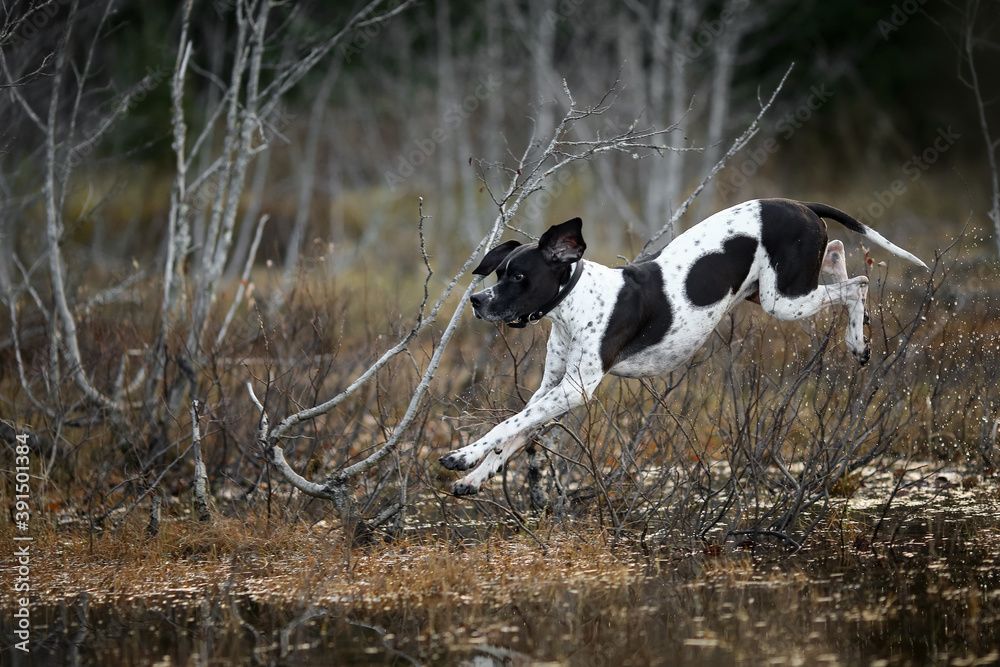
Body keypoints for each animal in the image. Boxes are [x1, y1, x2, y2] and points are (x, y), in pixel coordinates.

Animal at [442, 198, 924, 496]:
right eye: (498, 272)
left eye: (519, 276)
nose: (476, 301)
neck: (576, 303)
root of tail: (802, 205)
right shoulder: (552, 390)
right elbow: (516, 433)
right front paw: (476, 476)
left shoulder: (574, 390)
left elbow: (506, 426)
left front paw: (462, 455)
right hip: (773, 292)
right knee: (841, 255)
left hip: (785, 300)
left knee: (858, 283)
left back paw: (857, 341)